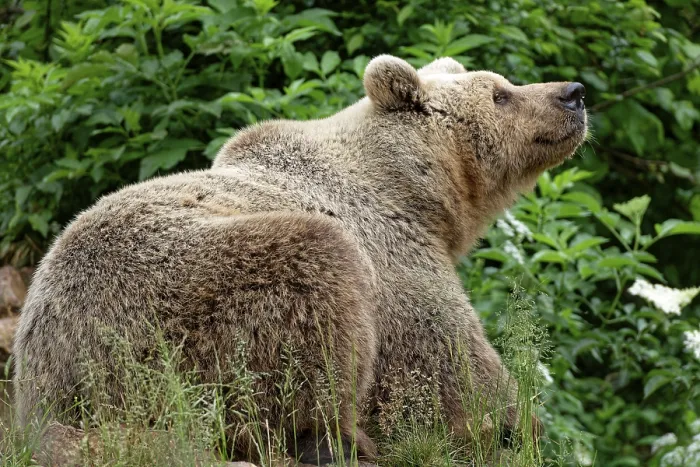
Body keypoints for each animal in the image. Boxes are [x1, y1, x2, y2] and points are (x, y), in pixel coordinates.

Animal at [13, 55, 587, 464]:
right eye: (500, 93)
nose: (574, 94)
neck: (418, 192)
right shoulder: (391, 252)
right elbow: (447, 359)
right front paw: (513, 425)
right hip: (172, 306)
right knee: (313, 285)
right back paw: (338, 441)